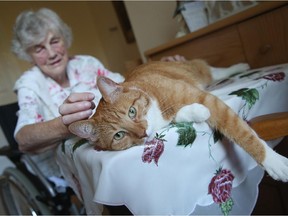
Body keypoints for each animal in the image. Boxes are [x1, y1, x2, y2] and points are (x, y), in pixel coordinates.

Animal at [69, 59, 288, 182]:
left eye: (131, 112)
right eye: (118, 135)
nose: (142, 133)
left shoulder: (205, 97)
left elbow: (243, 134)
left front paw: (273, 161)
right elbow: (186, 113)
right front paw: (197, 112)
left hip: (199, 71)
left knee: (211, 69)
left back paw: (238, 66)